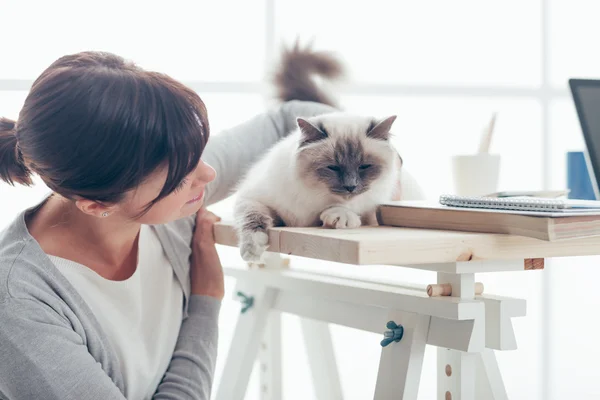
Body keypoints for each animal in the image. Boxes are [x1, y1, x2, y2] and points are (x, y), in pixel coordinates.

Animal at [233, 43, 398, 262]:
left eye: (364, 166)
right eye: (333, 167)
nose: (351, 187)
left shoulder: (370, 212)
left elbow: (348, 211)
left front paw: (339, 216)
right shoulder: (253, 199)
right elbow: (253, 219)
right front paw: (252, 251)